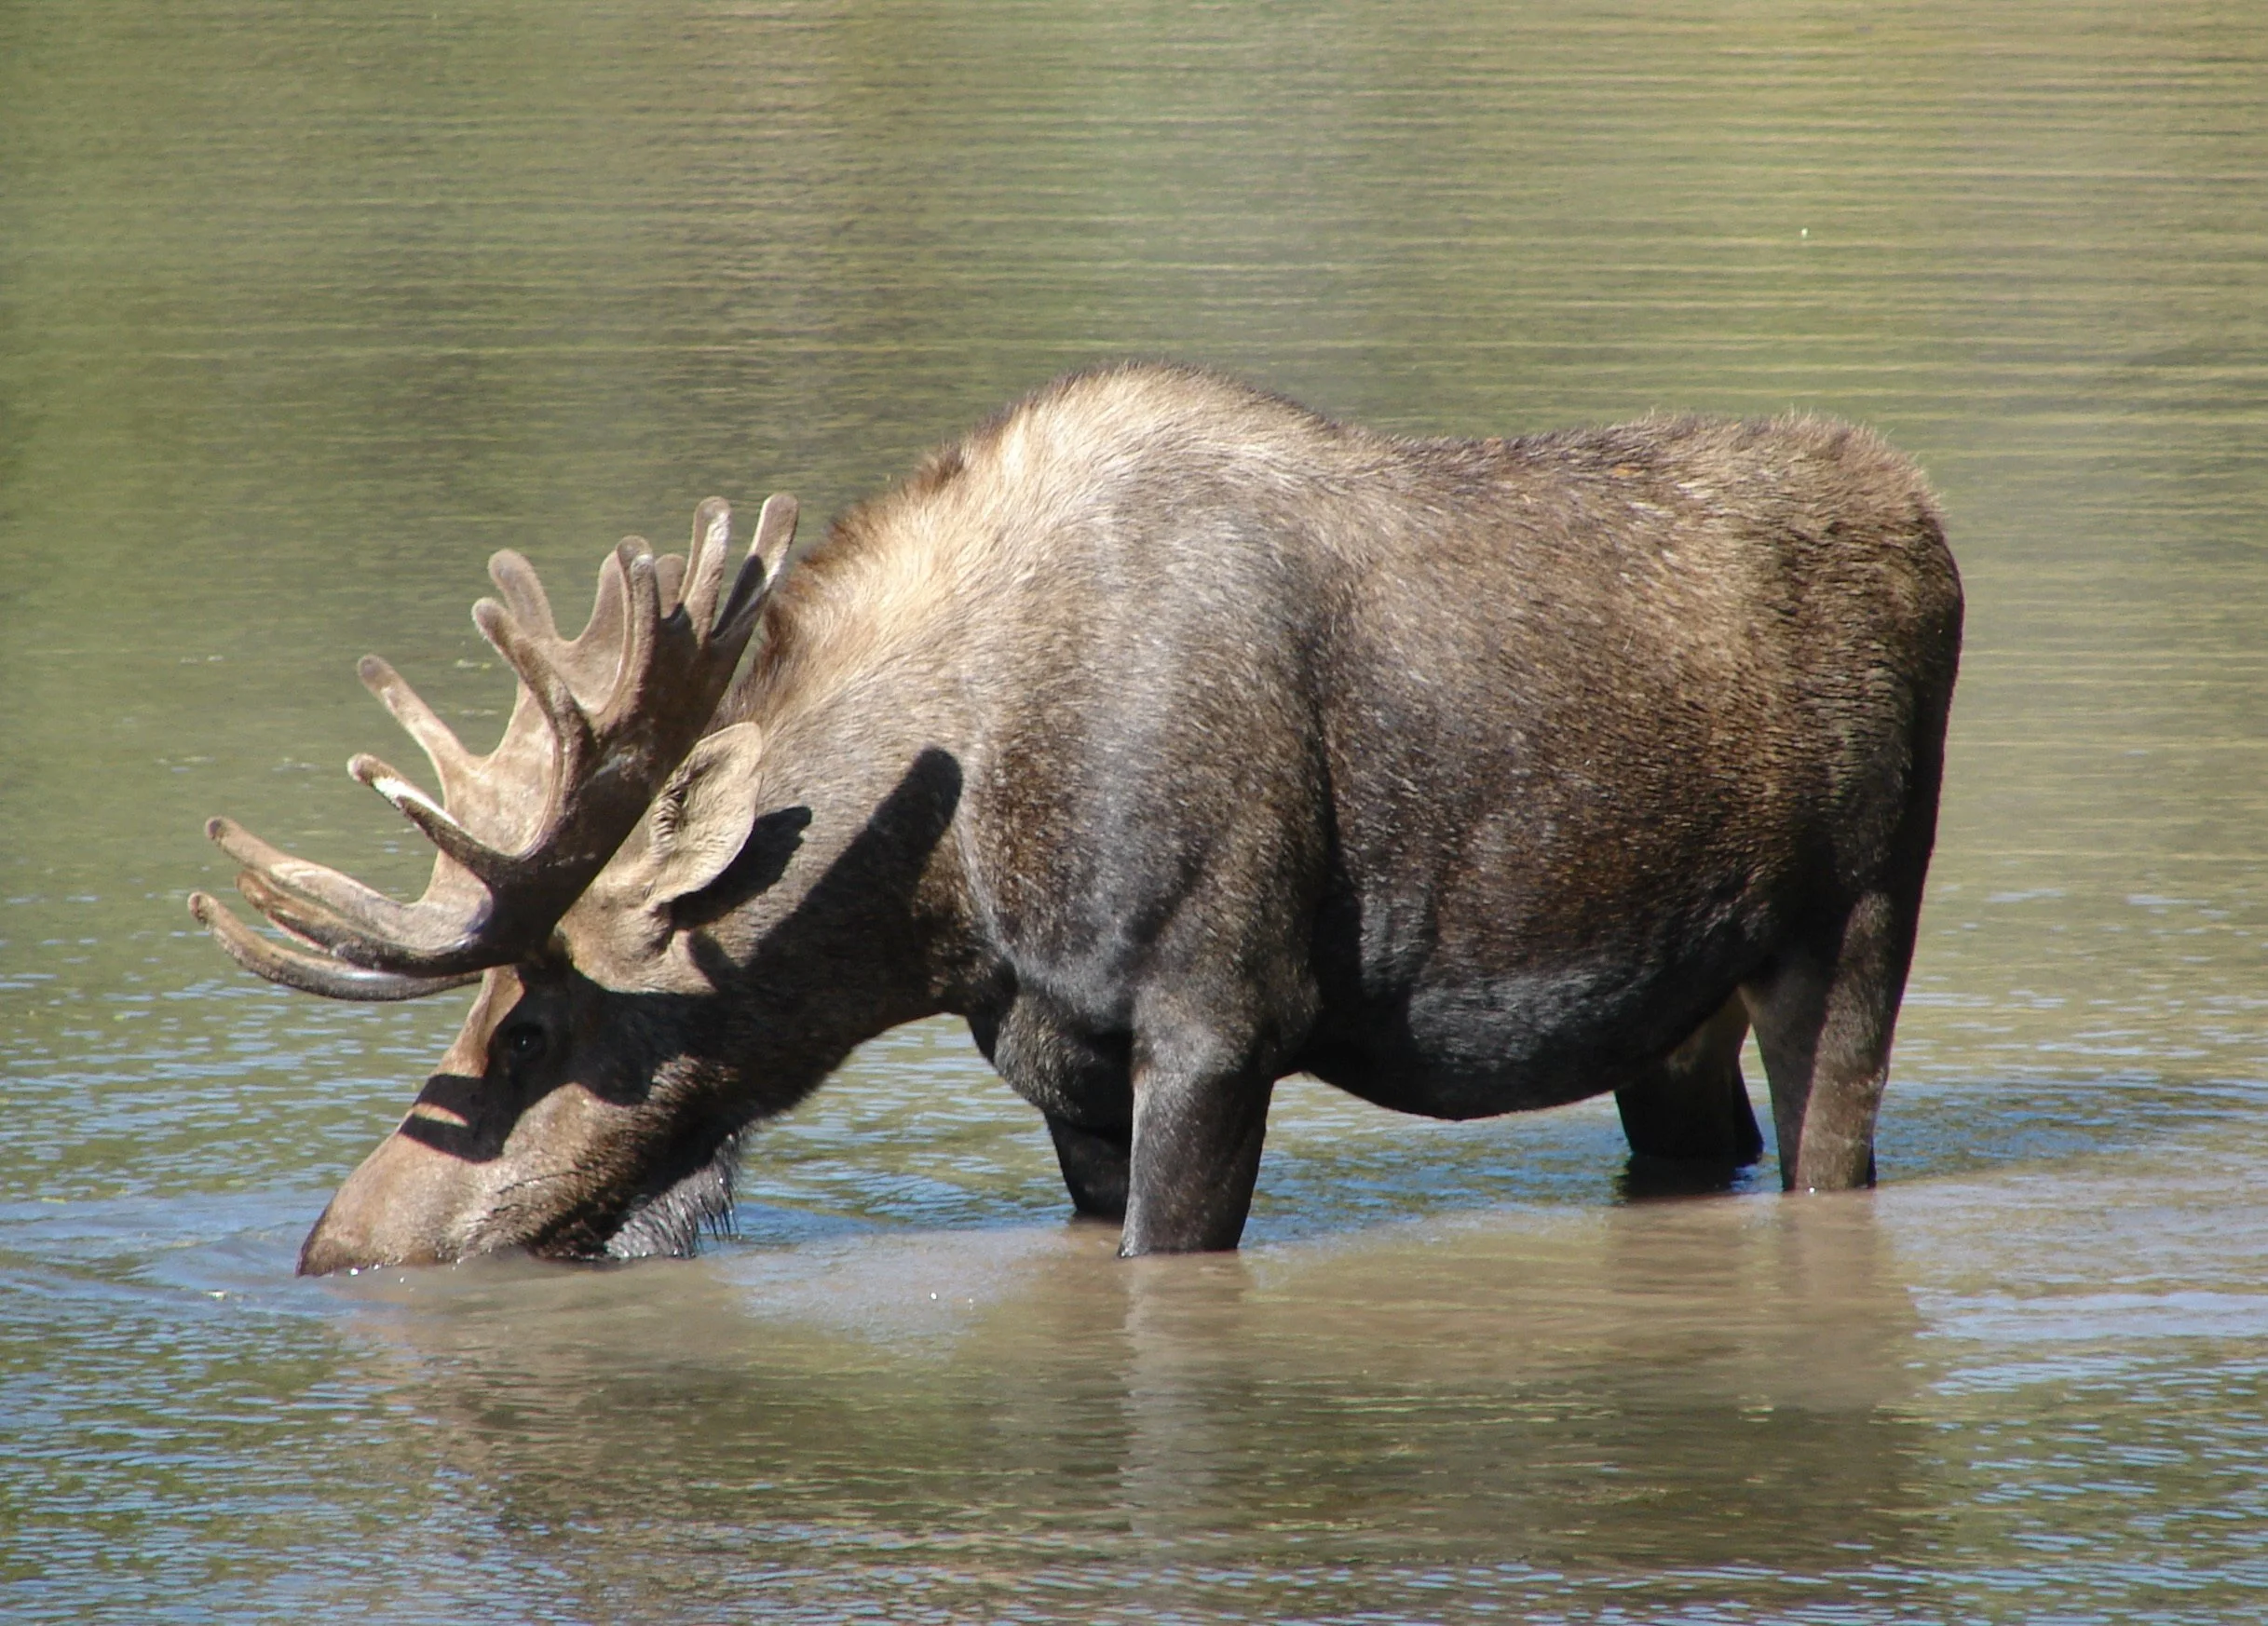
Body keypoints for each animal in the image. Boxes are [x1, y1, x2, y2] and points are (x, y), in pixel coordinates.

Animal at [189, 363, 1962, 1274]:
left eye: (532, 1025)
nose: (336, 1244)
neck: (950, 904)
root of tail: (1932, 524)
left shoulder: (1221, 1015)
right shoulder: (1059, 1058)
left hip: (1855, 921)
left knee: (1831, 1150)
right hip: (1670, 1016)